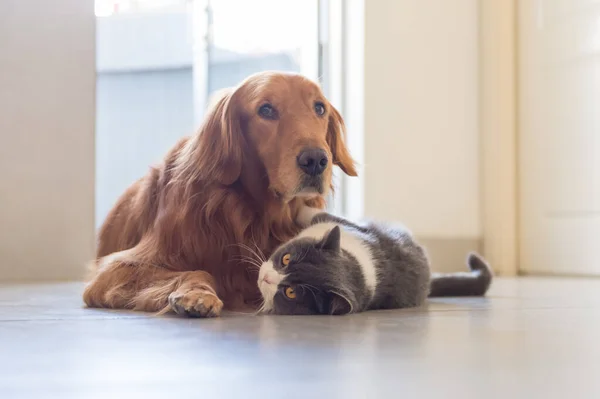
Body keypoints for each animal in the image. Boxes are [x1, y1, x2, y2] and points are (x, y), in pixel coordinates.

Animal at [83, 70, 356, 318]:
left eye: (319, 108)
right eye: (266, 110)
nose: (316, 160)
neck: (253, 214)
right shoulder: (115, 269)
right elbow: (198, 271)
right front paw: (196, 294)